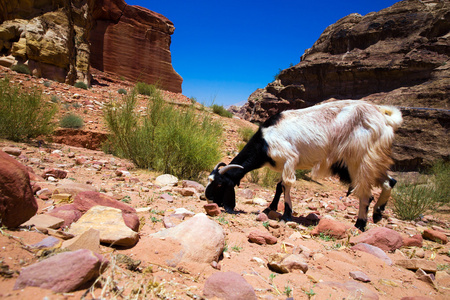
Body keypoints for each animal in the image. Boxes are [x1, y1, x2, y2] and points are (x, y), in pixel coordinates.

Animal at [206, 99, 402, 231]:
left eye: (220, 184)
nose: (209, 198)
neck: (265, 141)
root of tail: (384, 118)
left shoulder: (290, 158)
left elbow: (287, 184)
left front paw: (287, 214)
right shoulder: (284, 164)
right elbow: (279, 186)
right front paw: (271, 207)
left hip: (359, 160)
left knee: (365, 194)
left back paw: (360, 224)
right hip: (370, 161)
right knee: (389, 181)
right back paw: (377, 213)